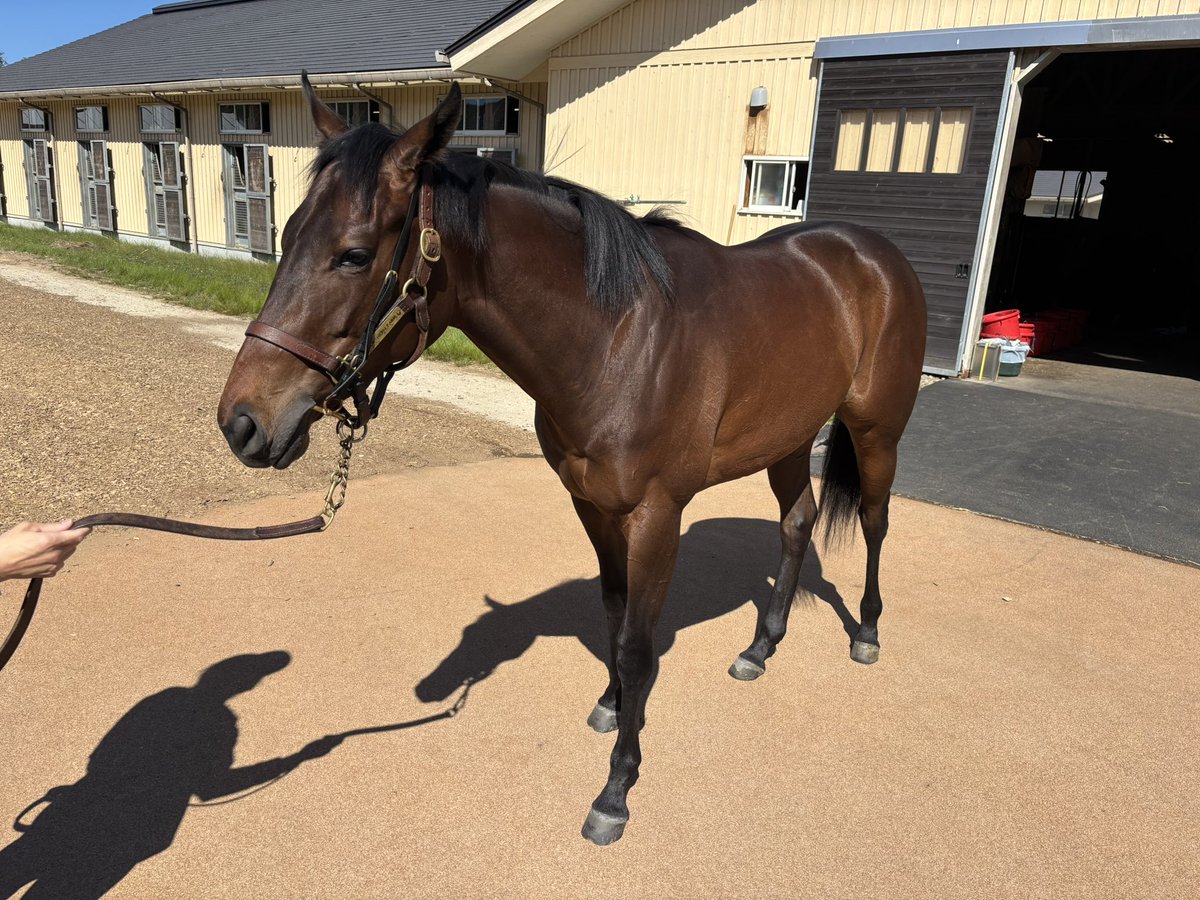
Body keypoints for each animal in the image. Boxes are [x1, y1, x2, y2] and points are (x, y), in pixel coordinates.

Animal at [218, 78, 927, 846]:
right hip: (789, 438)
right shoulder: (592, 504)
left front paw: (617, 789)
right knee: (797, 523)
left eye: (352, 254)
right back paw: (760, 648)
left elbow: (640, 644)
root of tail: (874, 252)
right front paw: (613, 705)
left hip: (877, 433)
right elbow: (613, 615)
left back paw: (867, 632)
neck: (619, 338)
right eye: (286, 234)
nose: (242, 422)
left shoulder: (656, 515)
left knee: (877, 523)